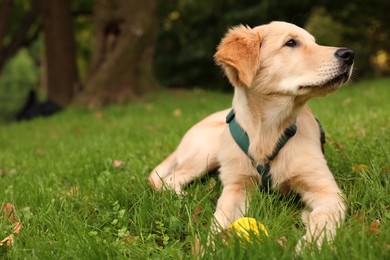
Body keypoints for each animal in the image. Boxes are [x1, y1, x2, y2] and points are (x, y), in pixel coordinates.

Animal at [149, 21, 354, 250]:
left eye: (315, 42)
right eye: (291, 42)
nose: (349, 54)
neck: (268, 131)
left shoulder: (326, 190)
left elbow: (323, 218)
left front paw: (311, 245)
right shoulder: (237, 185)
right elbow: (220, 219)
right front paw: (210, 247)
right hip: (207, 151)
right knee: (168, 178)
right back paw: (185, 196)